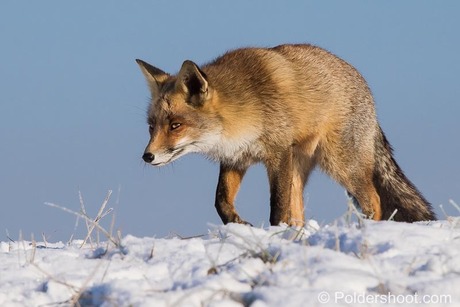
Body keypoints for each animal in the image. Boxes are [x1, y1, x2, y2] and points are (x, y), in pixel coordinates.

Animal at [136, 44, 434, 226]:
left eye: (175, 125)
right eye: (152, 126)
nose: (147, 156)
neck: (242, 112)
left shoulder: (277, 154)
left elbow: (277, 207)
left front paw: (274, 232)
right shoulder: (236, 158)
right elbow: (220, 201)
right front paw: (238, 224)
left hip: (340, 165)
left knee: (374, 200)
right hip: (299, 170)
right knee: (299, 211)